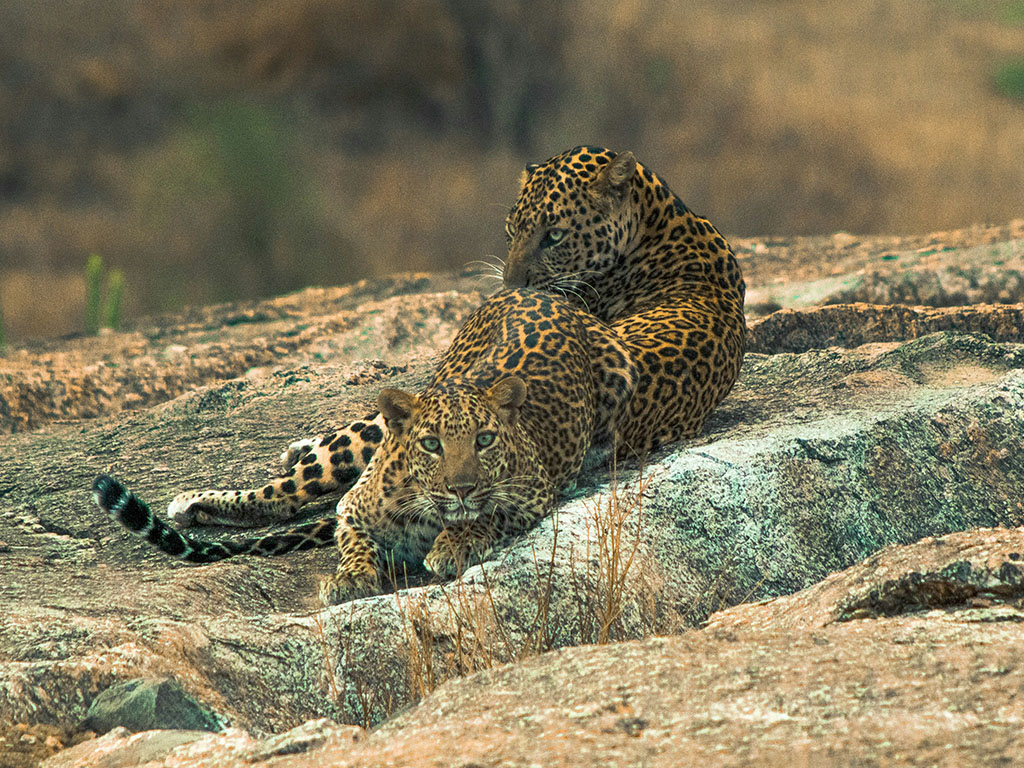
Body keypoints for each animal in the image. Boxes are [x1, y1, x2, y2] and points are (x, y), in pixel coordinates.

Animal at [93, 287, 637, 604]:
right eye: (432, 445)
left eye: (484, 441)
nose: (461, 488)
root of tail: (535, 291)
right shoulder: (354, 509)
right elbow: (353, 540)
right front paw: (352, 576)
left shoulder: (532, 493)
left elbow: (487, 514)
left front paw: (452, 544)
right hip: (364, 434)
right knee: (283, 491)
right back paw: (209, 495)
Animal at [159, 146, 745, 529]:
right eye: (512, 231)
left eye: (554, 235)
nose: (509, 284)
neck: (662, 219)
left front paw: (304, 446)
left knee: (291, 491)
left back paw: (198, 502)